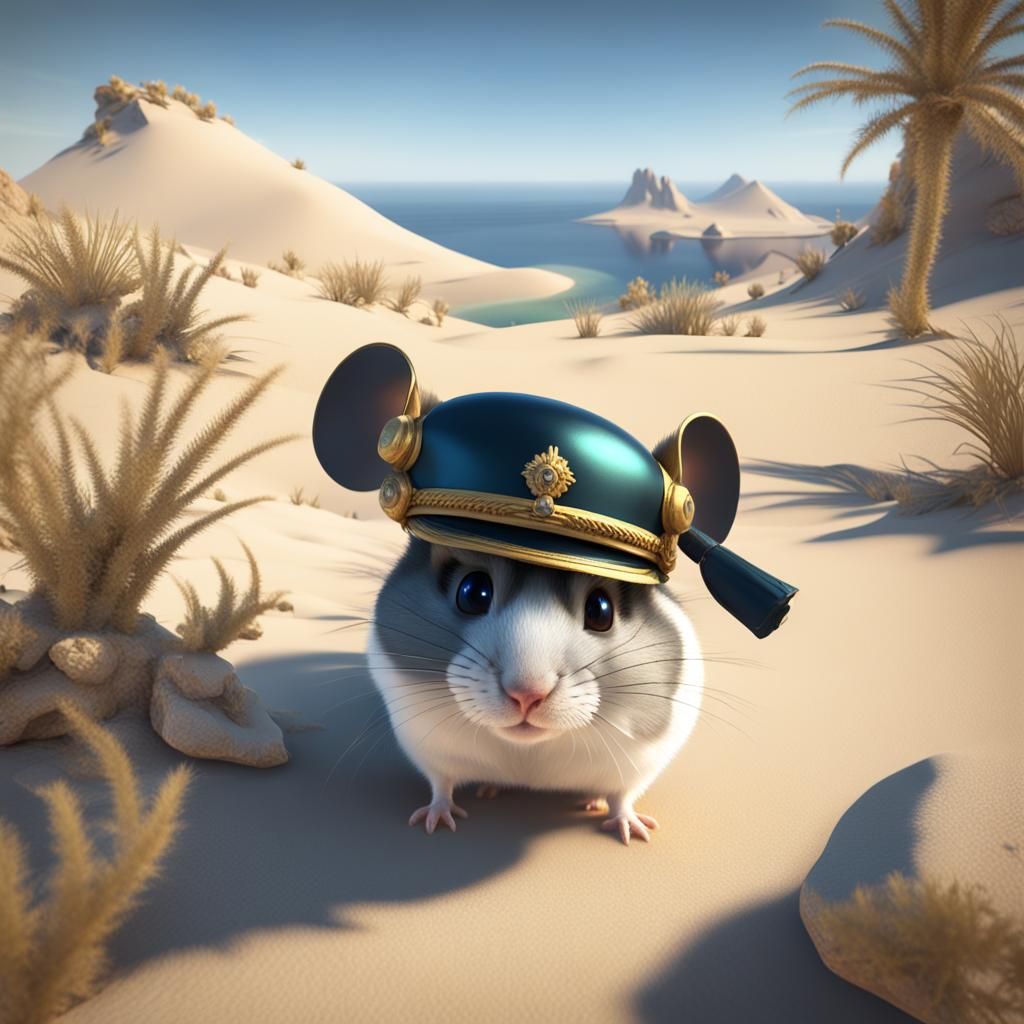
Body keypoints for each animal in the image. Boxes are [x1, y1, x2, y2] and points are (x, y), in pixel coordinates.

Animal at [366, 537, 703, 845]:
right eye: (473, 592)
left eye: (600, 610)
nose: (527, 694)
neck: (529, 750)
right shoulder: (429, 751)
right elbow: (441, 785)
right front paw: (434, 819)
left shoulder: (640, 765)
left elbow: (623, 797)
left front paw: (632, 830)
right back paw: (490, 788)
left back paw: (594, 801)